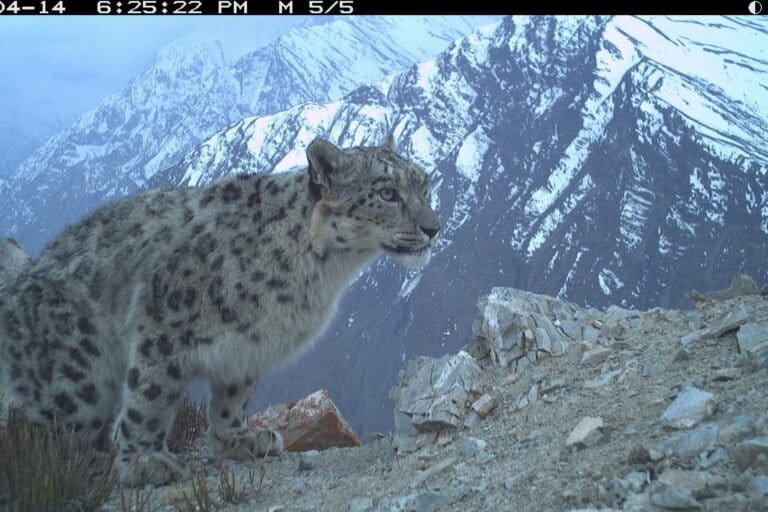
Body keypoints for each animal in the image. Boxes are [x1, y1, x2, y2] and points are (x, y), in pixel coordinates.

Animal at [0, 136, 440, 486]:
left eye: (424, 184)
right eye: (387, 193)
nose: (433, 228)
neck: (321, 275)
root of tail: (19, 282)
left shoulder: (248, 344)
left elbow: (233, 396)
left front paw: (239, 439)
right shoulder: (163, 325)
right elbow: (149, 398)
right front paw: (144, 460)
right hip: (80, 379)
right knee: (58, 432)